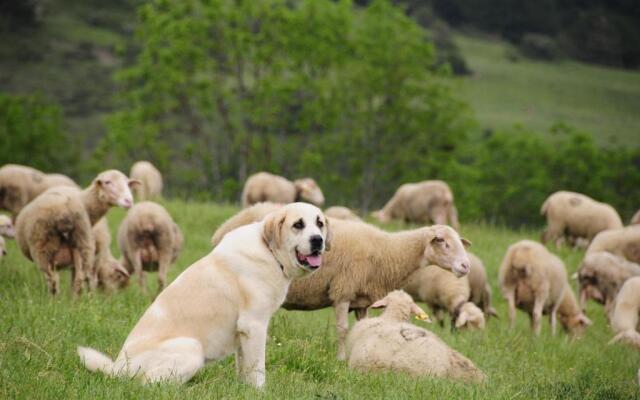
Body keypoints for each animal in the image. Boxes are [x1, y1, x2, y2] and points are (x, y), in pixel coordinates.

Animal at [76, 203, 330, 388]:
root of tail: (117, 368)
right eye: (298, 224)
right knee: (148, 383)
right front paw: (259, 392)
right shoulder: (254, 325)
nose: (318, 240)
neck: (269, 251)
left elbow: (244, 367)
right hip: (191, 349)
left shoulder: (243, 333)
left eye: (320, 223)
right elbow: (258, 370)